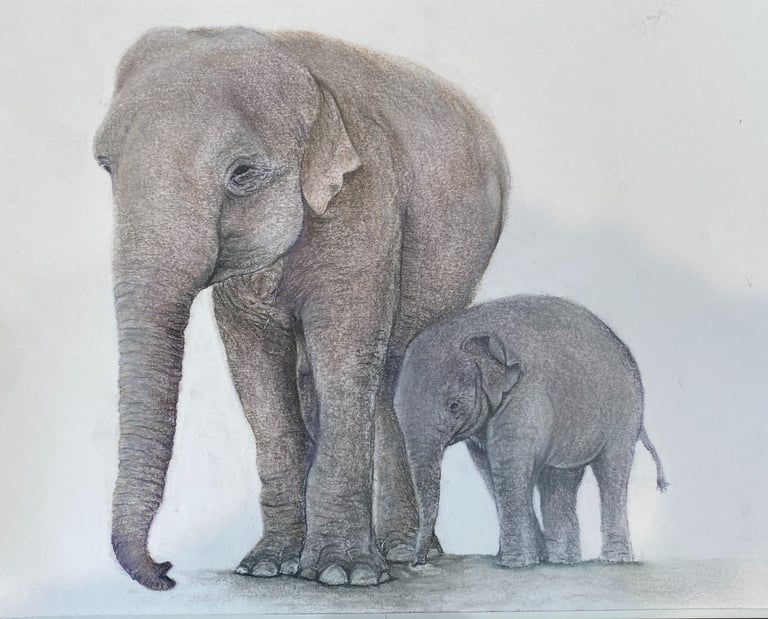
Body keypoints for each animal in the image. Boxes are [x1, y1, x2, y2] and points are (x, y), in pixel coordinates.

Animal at [93, 27, 508, 590]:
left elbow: (344, 350)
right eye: (106, 166)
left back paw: (402, 555)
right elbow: (255, 370)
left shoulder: (365, 201)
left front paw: (342, 573)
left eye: (243, 174)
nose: (167, 570)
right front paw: (267, 566)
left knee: (393, 367)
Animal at [393, 295, 668, 568]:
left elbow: (507, 466)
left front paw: (515, 563)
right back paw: (563, 561)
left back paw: (614, 560)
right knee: (560, 479)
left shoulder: (526, 393)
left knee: (612, 472)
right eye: (396, 408)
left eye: (454, 406)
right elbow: (490, 468)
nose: (418, 563)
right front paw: (529, 556)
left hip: (625, 412)